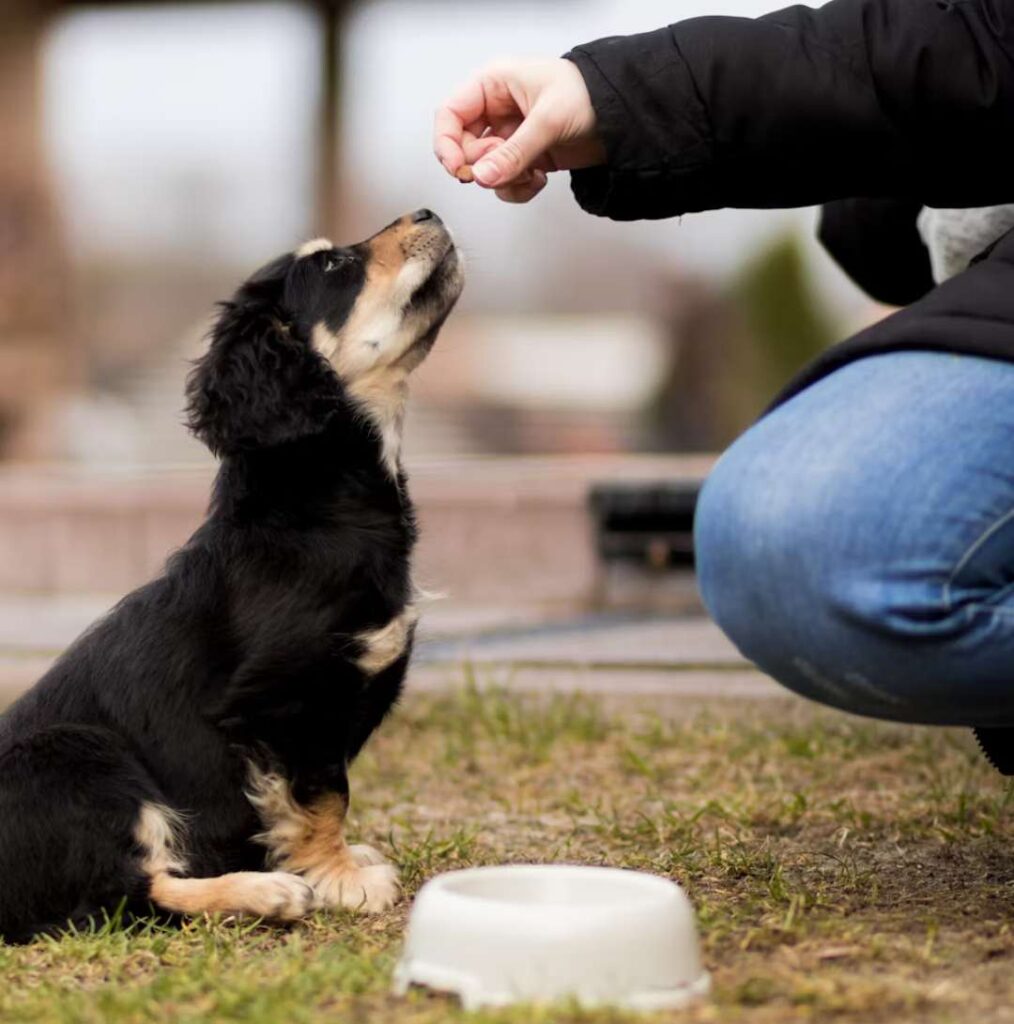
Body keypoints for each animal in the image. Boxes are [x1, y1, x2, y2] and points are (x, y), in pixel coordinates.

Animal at [0, 207, 467, 942]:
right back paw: (264, 893)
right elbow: (323, 795)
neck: (314, 499)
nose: (429, 211)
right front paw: (339, 879)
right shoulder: (285, 703)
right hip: (79, 754)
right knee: (121, 896)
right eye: (332, 265)